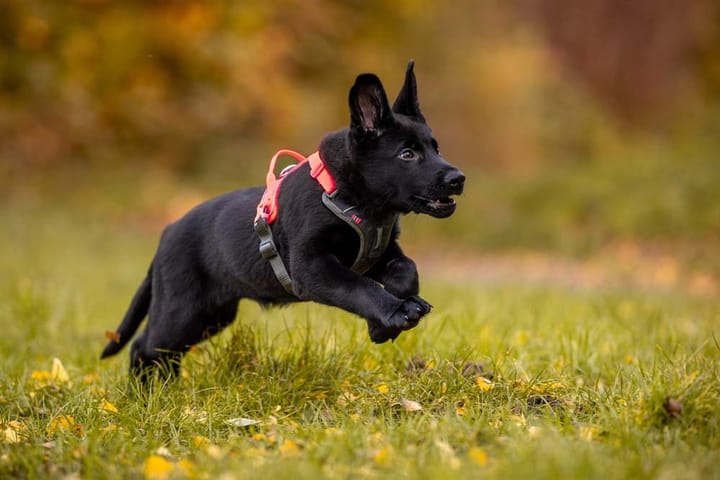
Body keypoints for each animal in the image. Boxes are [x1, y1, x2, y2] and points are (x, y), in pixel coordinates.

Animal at [101, 61, 466, 378]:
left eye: (436, 148)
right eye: (407, 154)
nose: (458, 179)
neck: (353, 197)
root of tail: (166, 233)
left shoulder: (380, 251)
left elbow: (407, 271)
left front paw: (385, 321)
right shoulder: (312, 266)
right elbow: (358, 287)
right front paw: (393, 315)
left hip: (211, 314)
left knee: (162, 351)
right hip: (182, 309)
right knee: (144, 346)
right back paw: (145, 396)